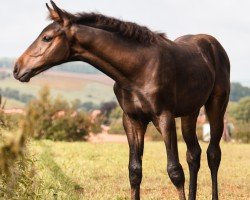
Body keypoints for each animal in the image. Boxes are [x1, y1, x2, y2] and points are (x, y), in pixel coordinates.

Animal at [12, 1, 229, 198]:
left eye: (46, 38)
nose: (17, 68)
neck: (139, 68)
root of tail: (213, 45)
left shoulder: (164, 118)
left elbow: (175, 171)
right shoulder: (132, 120)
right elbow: (134, 171)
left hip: (216, 106)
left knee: (213, 154)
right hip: (190, 113)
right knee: (194, 154)